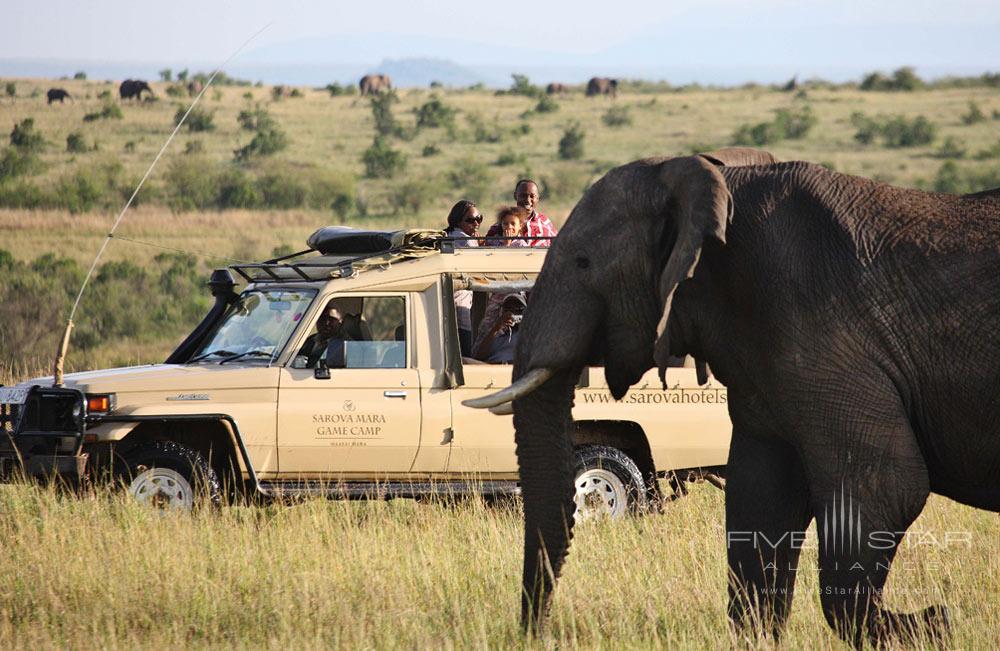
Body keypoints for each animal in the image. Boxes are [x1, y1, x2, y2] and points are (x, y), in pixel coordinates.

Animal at [468, 148, 1000, 648]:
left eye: (582, 262)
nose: (536, 632)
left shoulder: (828, 334)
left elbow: (887, 483)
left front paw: (933, 626)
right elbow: (758, 503)